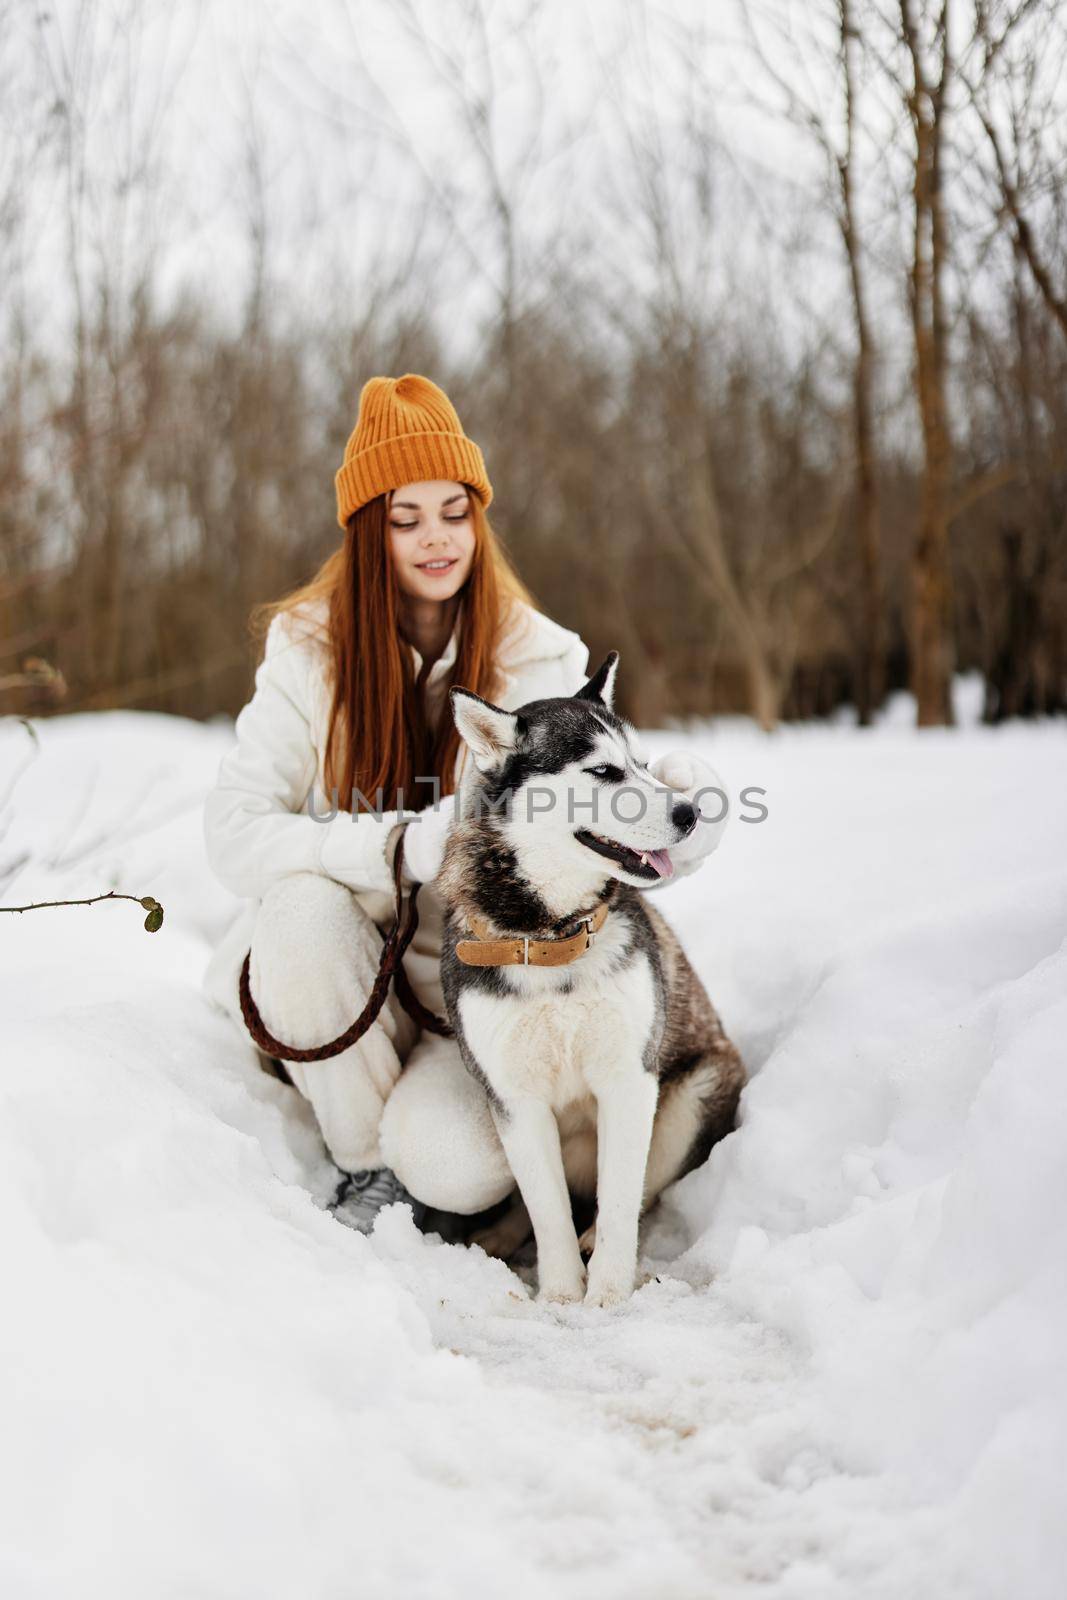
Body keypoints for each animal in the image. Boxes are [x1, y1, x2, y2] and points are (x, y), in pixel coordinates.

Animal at [438, 652, 748, 1312]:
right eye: (604, 771)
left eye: (643, 763)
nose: (690, 813)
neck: (555, 939)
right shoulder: (514, 1099)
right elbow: (546, 1209)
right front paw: (559, 1295)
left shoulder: (629, 1080)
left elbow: (622, 1200)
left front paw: (607, 1293)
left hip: (693, 1094)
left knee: (644, 1190)